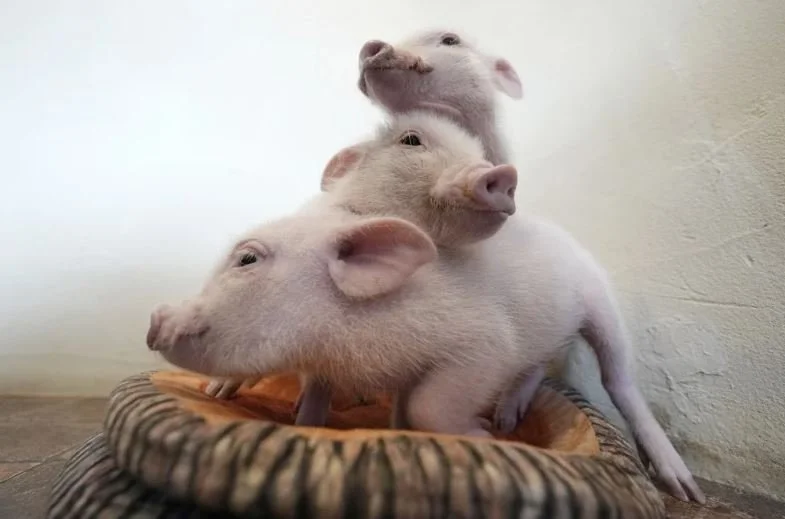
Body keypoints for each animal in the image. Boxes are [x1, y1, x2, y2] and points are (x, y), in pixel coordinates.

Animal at [147, 196, 704, 503]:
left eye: (247, 260)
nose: (156, 320)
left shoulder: (482, 345)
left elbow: (428, 405)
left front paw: (480, 435)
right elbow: (328, 403)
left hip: (600, 303)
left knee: (618, 379)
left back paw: (683, 487)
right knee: (532, 367)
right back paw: (509, 415)